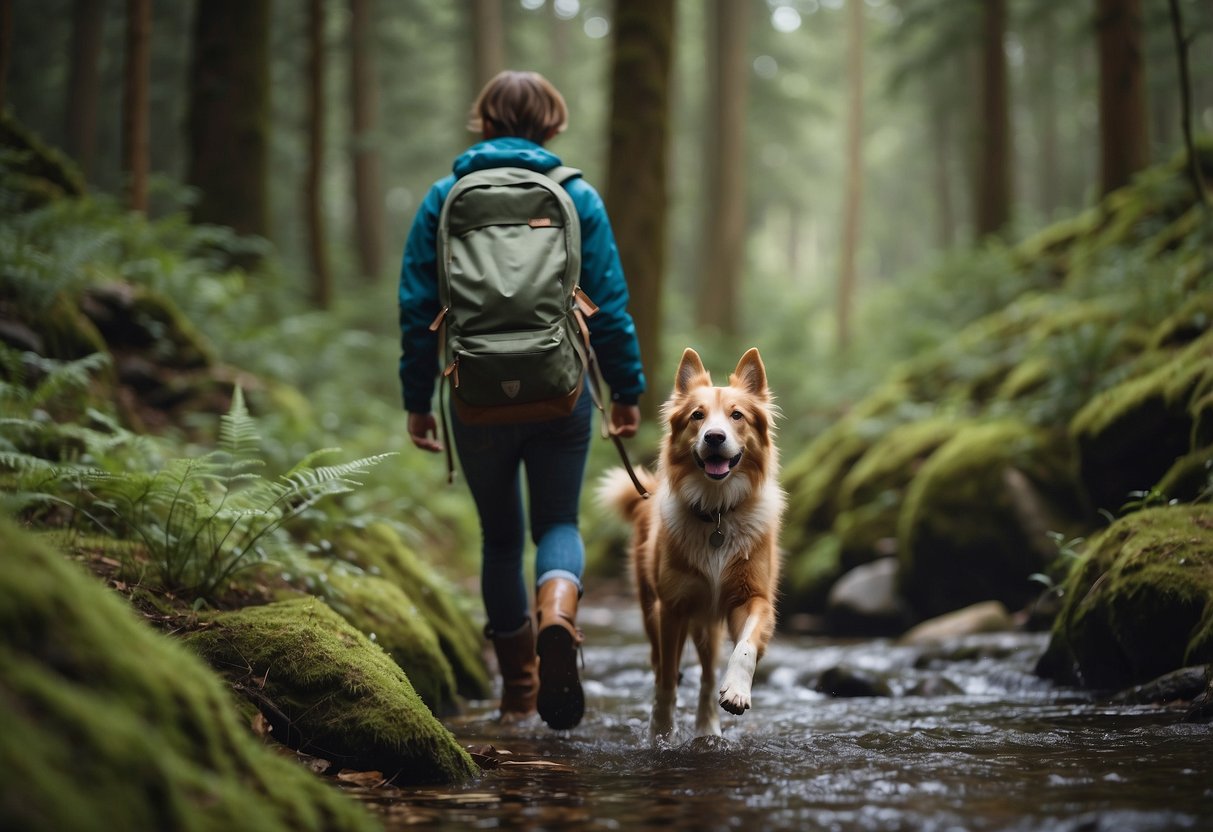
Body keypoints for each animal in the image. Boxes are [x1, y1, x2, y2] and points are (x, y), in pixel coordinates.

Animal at [599, 344, 786, 742]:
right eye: (697, 416)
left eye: (736, 415)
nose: (714, 436)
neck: (716, 514)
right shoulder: (672, 608)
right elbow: (667, 679)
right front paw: (661, 730)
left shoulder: (753, 597)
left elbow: (745, 647)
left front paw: (737, 690)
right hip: (653, 608)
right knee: (662, 665)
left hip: (707, 626)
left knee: (707, 675)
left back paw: (707, 728)